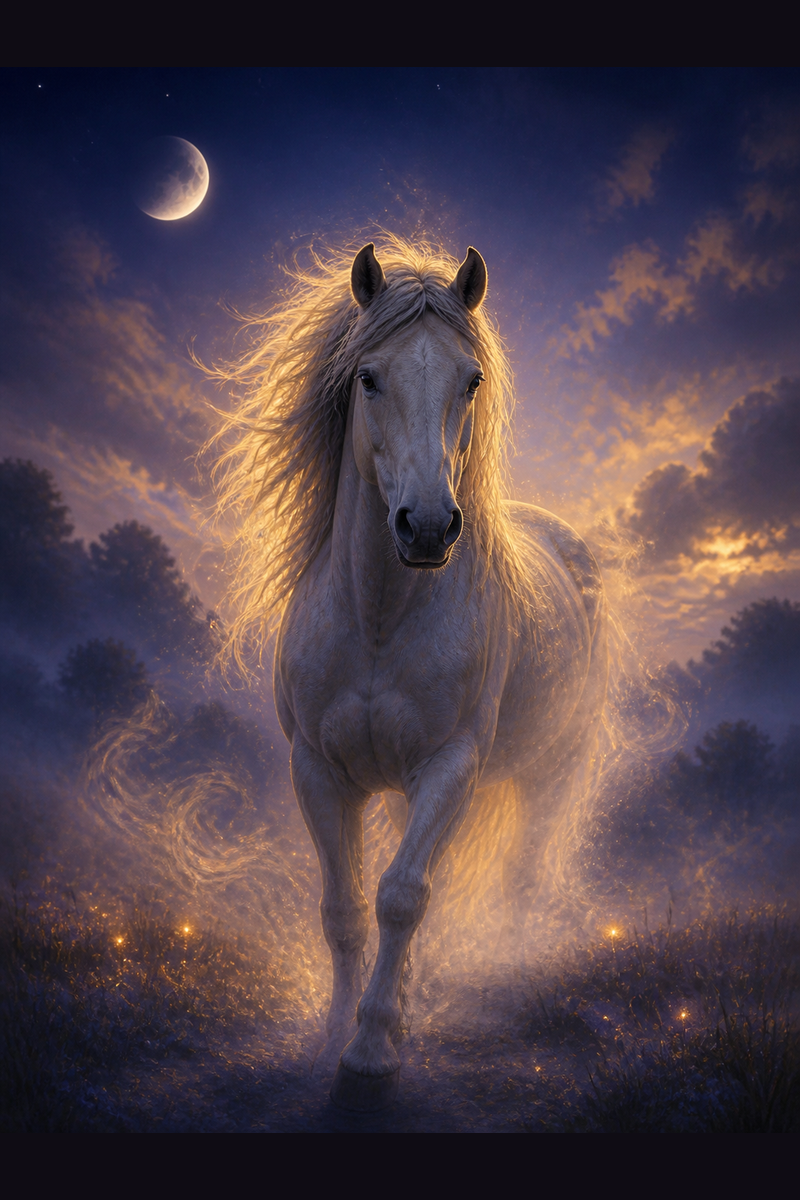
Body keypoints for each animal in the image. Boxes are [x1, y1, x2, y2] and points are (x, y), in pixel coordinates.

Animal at [209, 237, 607, 1111]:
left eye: (472, 379)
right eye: (368, 377)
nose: (426, 526)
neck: (380, 622)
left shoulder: (450, 767)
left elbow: (402, 898)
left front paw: (372, 1053)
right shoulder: (319, 771)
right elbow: (346, 909)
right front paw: (335, 1034)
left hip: (548, 777)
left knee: (517, 882)